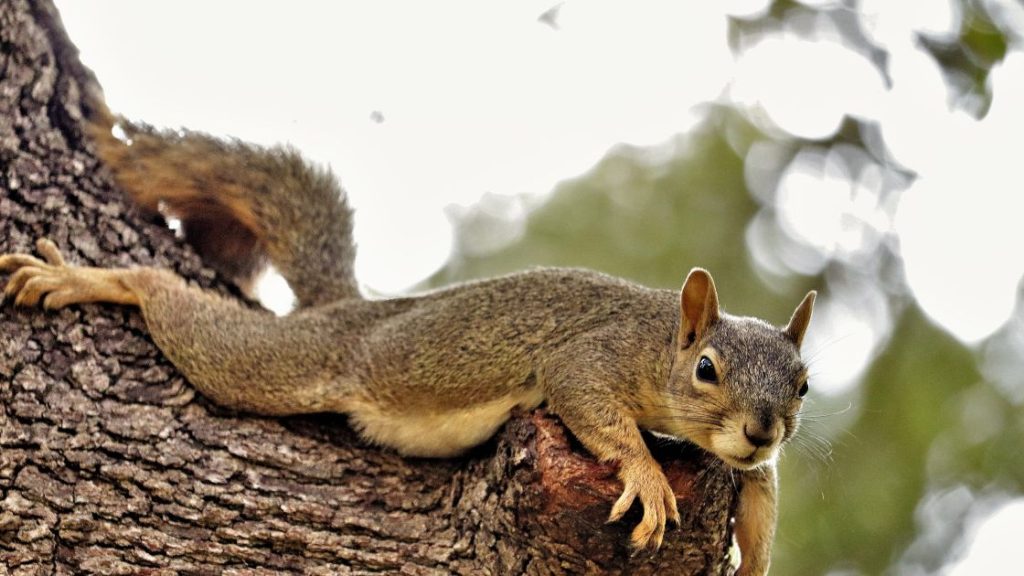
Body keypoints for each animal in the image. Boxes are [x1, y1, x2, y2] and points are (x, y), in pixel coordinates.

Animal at [0, 103, 815, 576]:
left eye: (803, 383)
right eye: (706, 369)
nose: (761, 430)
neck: (658, 339)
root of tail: (354, 310)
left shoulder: (745, 460)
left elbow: (762, 495)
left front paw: (754, 555)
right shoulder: (591, 357)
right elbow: (590, 404)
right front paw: (647, 473)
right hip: (291, 362)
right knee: (193, 324)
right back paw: (91, 278)